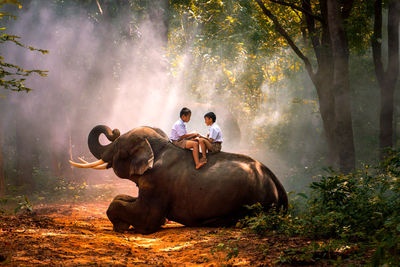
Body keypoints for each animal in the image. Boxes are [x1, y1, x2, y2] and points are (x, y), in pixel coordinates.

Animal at [69, 125, 288, 234]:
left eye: (118, 147)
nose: (114, 131)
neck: (160, 146)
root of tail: (278, 184)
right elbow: (121, 198)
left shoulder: (158, 183)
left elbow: (147, 219)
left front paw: (121, 227)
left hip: (254, 204)